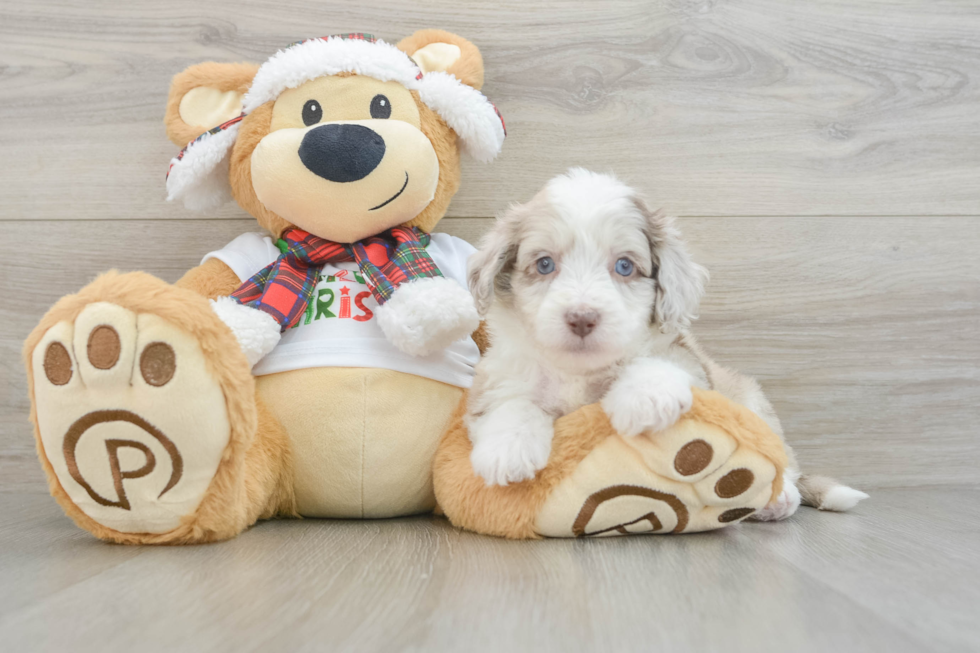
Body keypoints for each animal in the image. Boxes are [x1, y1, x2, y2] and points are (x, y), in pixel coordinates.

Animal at [466, 168, 864, 520]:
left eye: (625, 266)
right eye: (545, 264)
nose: (582, 317)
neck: (581, 371)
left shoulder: (688, 360)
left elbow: (657, 360)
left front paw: (645, 397)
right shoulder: (498, 375)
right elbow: (511, 402)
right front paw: (508, 447)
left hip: (751, 399)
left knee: (784, 462)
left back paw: (779, 498)